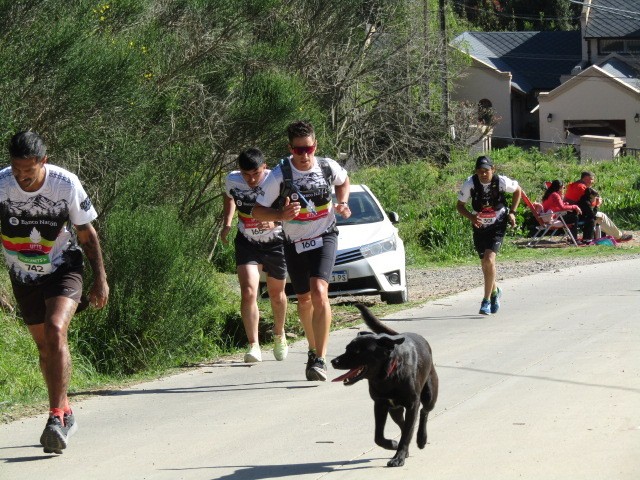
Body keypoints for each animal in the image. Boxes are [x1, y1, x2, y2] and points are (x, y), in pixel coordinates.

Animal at [332, 306, 438, 466]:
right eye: (346, 348)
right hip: (395, 410)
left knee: (423, 412)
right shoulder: (380, 404)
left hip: (429, 396)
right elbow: (379, 437)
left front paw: (398, 457)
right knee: (404, 424)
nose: (333, 361)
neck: (388, 376)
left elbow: (407, 432)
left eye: (356, 352)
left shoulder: (412, 404)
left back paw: (421, 439)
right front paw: (393, 445)